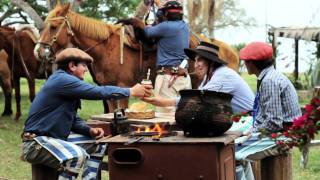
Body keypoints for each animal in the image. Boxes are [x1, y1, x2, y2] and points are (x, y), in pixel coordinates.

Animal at [36, 2, 239, 112]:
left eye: (53, 27)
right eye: (43, 26)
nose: (39, 51)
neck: (106, 48)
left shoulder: (124, 88)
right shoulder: (108, 91)